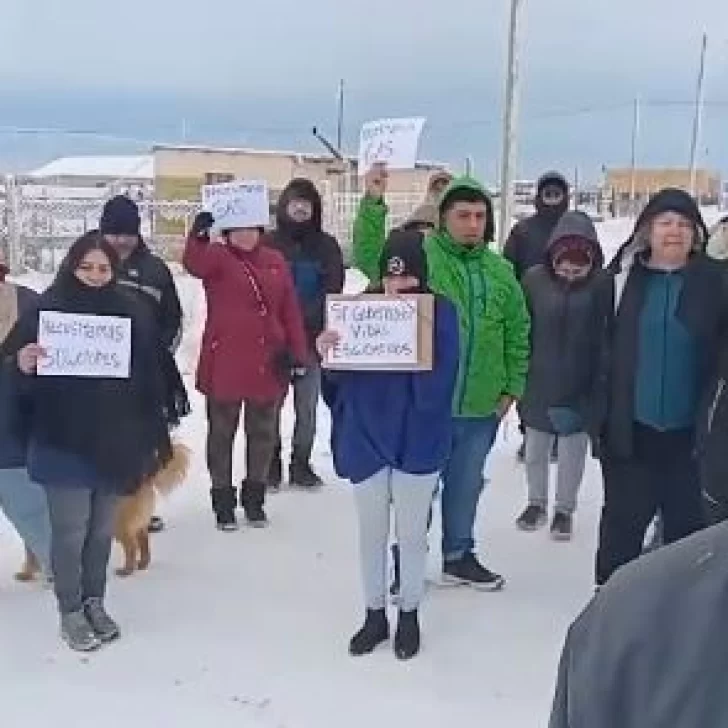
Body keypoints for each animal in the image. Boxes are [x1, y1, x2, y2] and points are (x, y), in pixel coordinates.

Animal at [112, 440, 189, 576]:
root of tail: (144, 479)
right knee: (144, 542)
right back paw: (142, 564)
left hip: (119, 522)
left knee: (132, 547)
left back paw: (127, 570)